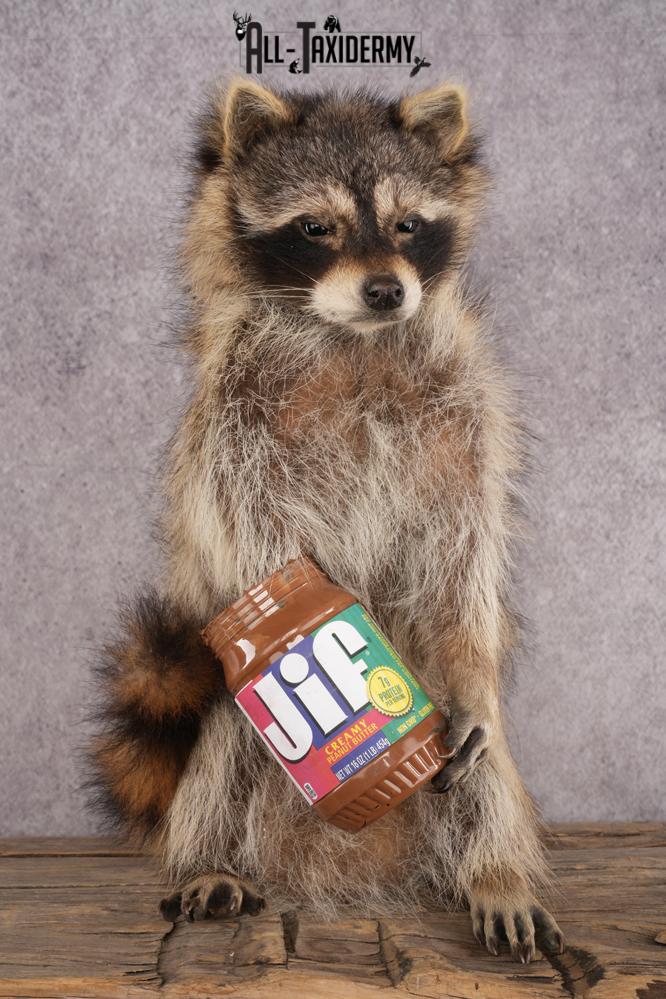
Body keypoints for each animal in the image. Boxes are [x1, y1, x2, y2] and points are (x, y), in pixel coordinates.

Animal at [90, 78, 564, 962]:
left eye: (407, 224)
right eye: (317, 227)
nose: (386, 289)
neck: (355, 336)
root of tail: (346, 873)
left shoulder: (465, 414)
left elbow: (462, 563)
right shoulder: (236, 420)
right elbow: (263, 545)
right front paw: (323, 653)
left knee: (484, 768)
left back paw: (493, 870)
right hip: (220, 705)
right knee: (223, 750)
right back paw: (209, 858)